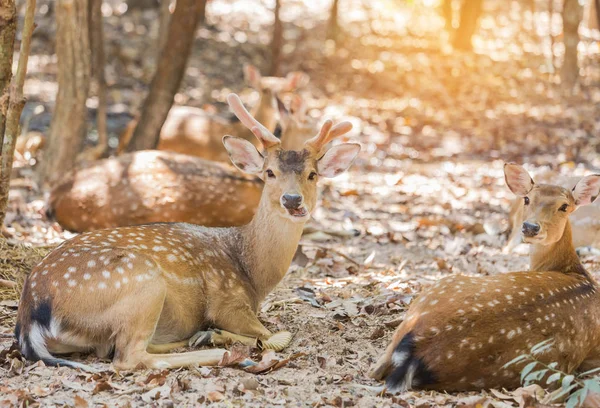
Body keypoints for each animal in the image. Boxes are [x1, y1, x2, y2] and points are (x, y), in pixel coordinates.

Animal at [370, 162, 600, 392]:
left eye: (564, 206)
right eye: (527, 198)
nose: (530, 227)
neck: (573, 270)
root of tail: (417, 353)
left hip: (439, 287)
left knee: (375, 369)